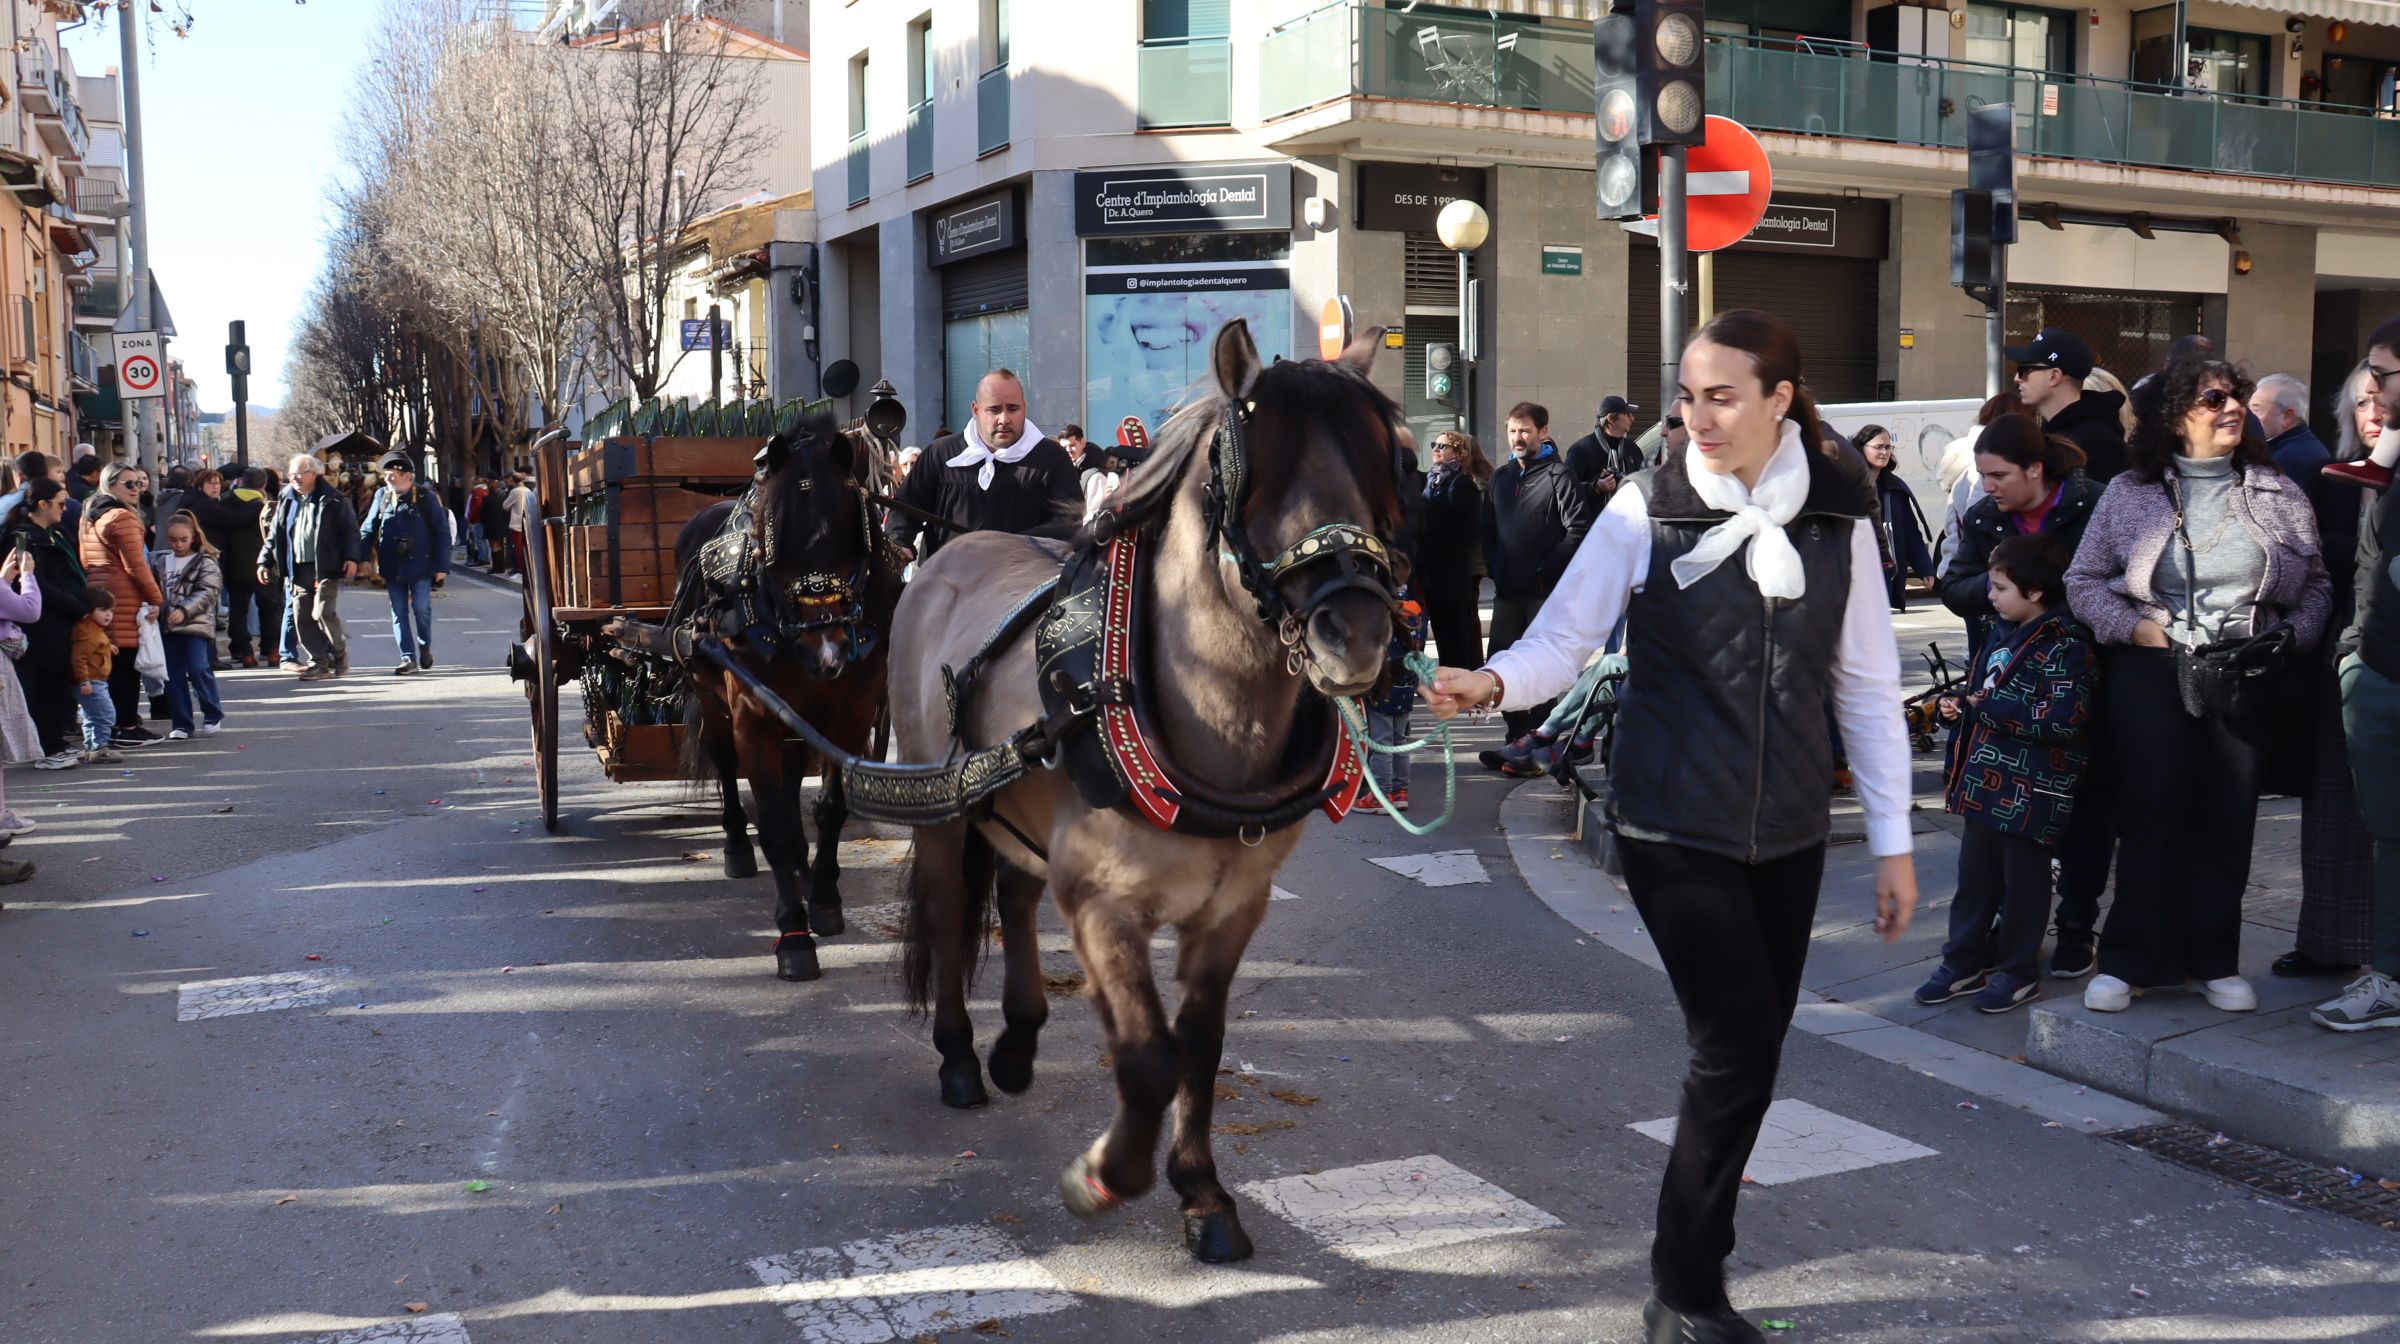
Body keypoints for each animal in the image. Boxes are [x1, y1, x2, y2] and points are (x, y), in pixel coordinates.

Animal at [892, 319, 1401, 1267]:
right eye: (1254, 474)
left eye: (1386, 464)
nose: (1355, 632)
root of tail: (953, 549)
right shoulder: (1102, 902)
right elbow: (1147, 1057)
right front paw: (1105, 1176)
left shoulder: (1234, 905)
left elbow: (1198, 1048)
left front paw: (1203, 1194)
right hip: (940, 808)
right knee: (948, 913)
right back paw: (959, 1058)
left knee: (1015, 896)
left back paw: (1017, 1042)